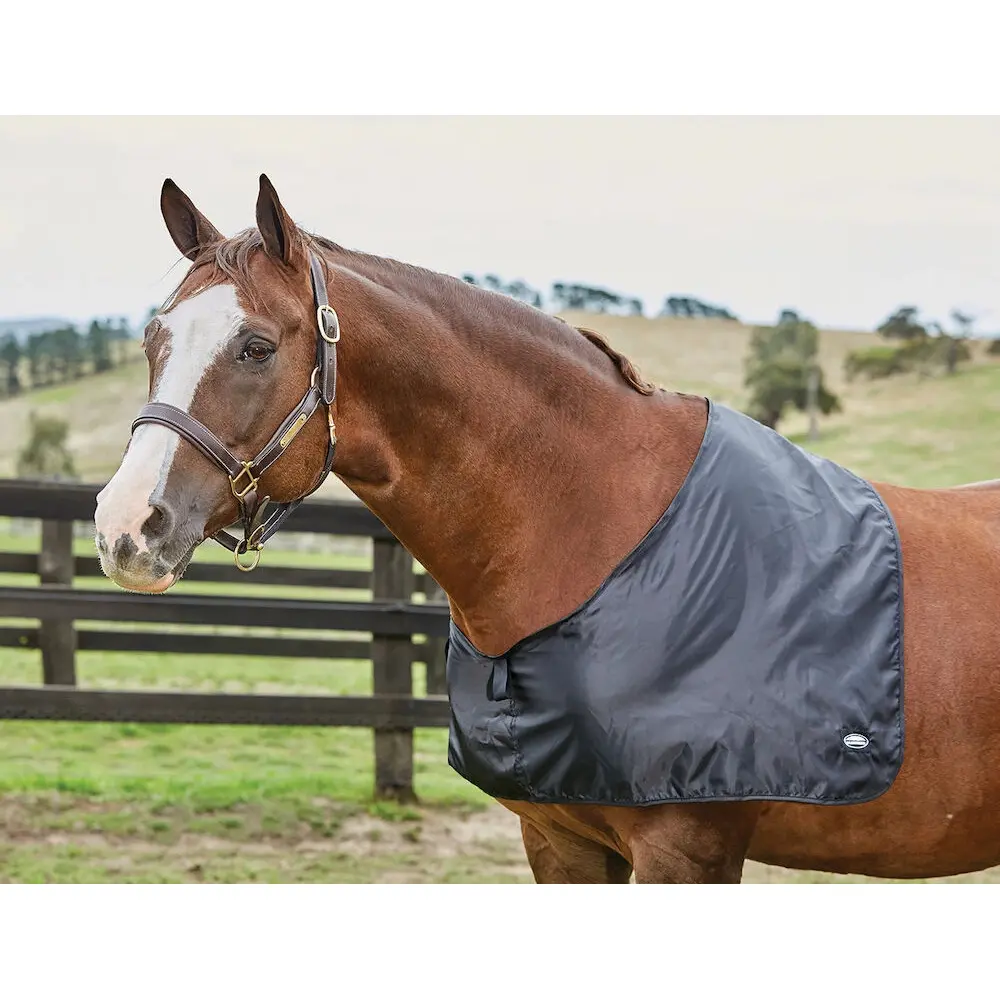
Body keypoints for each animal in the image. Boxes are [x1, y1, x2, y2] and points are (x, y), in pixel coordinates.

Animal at [93, 174, 1000, 883]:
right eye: (151, 339)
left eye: (254, 347)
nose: (125, 526)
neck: (603, 533)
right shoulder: (559, 840)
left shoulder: (688, 849)